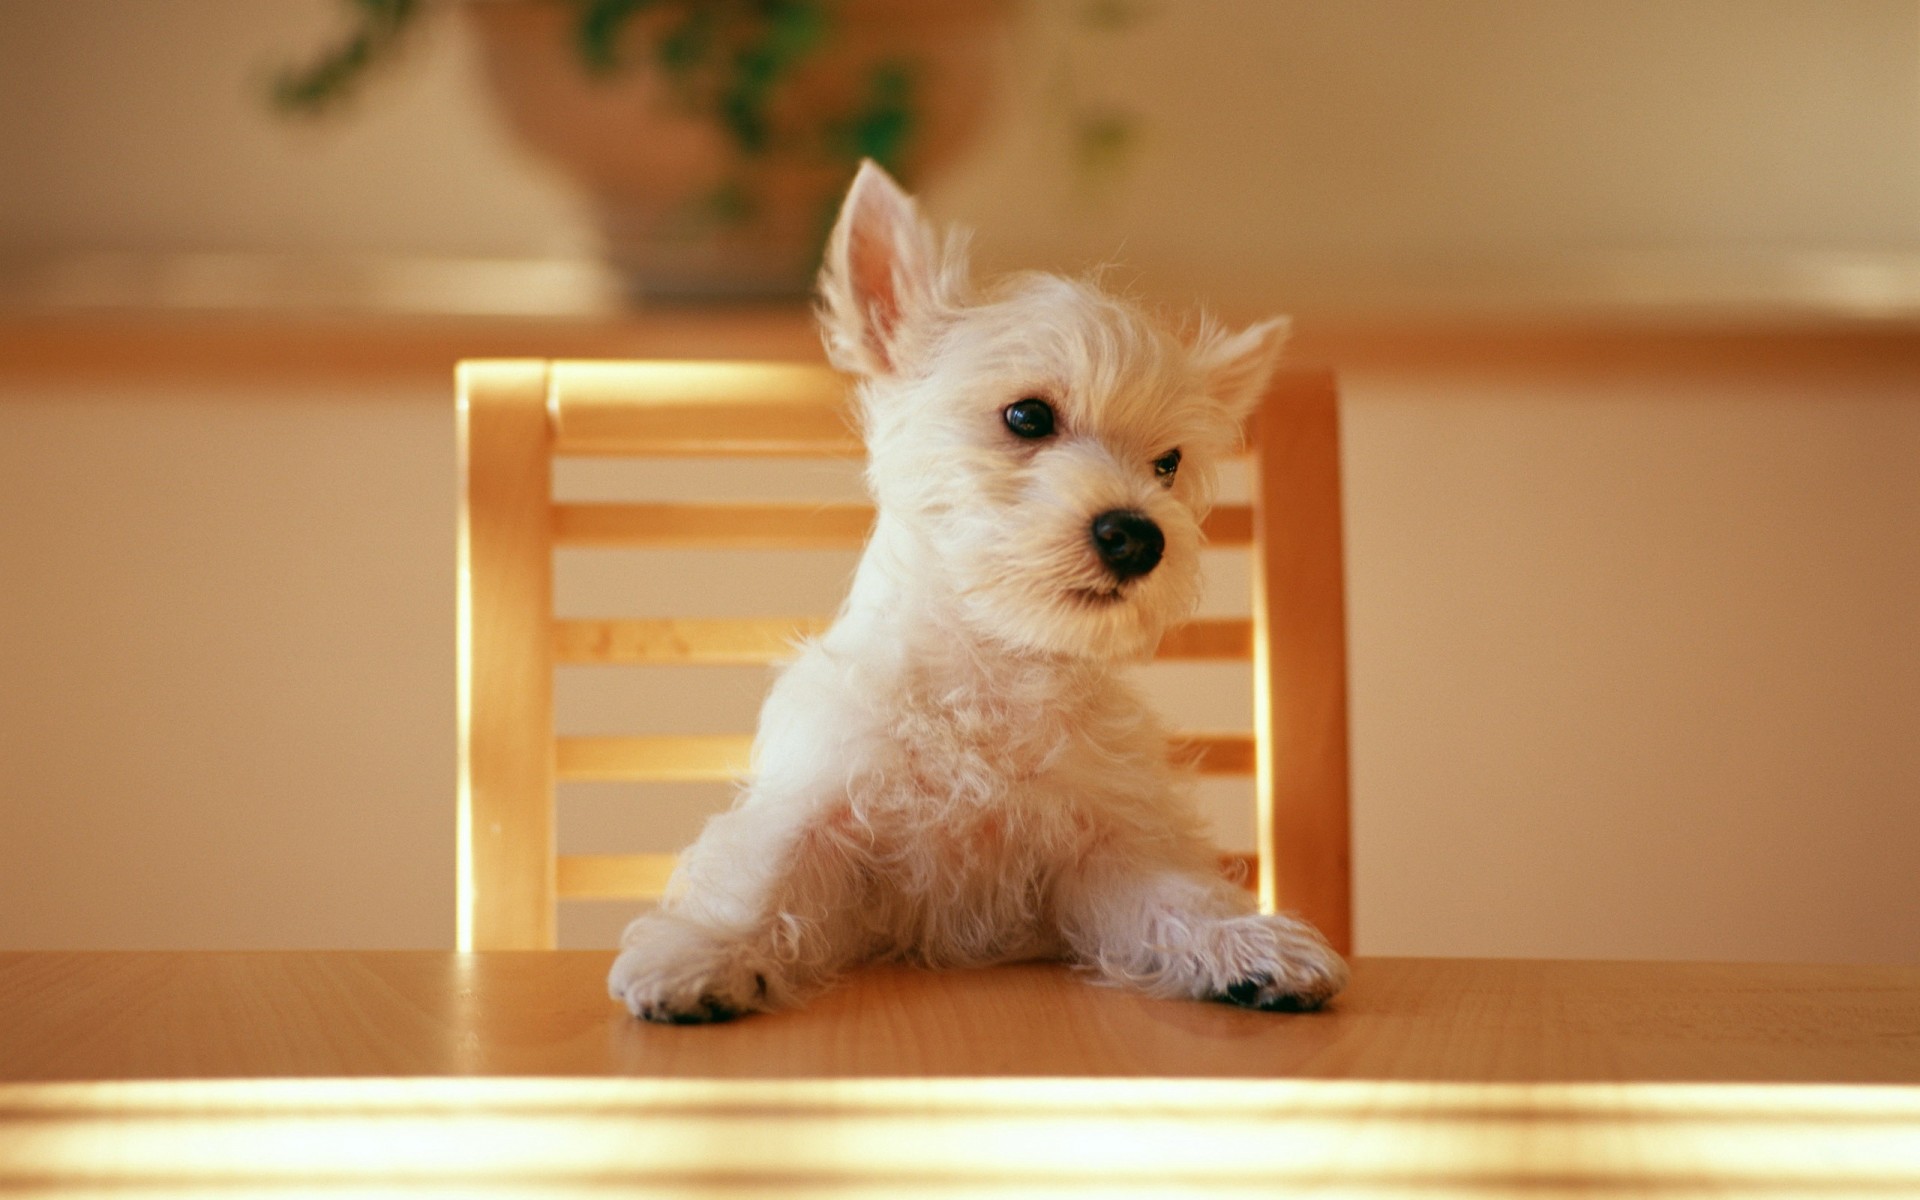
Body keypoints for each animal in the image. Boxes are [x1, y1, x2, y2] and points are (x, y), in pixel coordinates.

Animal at [614, 159, 1351, 1021]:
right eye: (1027, 416)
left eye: (1167, 463)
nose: (1139, 537)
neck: (991, 668)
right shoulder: (824, 810)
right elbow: (763, 878)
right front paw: (703, 953)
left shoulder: (1104, 853)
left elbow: (1177, 899)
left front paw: (1248, 945)